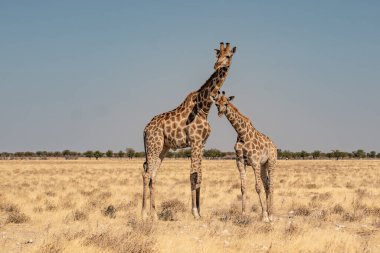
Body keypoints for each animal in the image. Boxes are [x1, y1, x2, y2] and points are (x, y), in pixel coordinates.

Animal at [142, 41, 238, 219]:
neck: (204, 107)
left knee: (153, 174)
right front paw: (194, 212)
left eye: (228, 56)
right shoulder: (194, 141)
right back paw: (144, 214)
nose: (216, 65)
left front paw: (200, 211)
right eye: (217, 55)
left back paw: (155, 214)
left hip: (163, 148)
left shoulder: (202, 143)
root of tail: (145, 129)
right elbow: (193, 175)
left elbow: (199, 175)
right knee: (146, 174)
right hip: (154, 146)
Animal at [211, 91, 276, 221]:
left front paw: (264, 216)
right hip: (263, 165)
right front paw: (243, 214)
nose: (220, 113)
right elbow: (243, 187)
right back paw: (268, 211)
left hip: (271, 162)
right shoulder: (240, 162)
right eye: (216, 104)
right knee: (267, 185)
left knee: (271, 185)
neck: (242, 133)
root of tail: (274, 145)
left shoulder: (255, 162)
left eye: (226, 103)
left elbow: (257, 187)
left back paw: (271, 214)